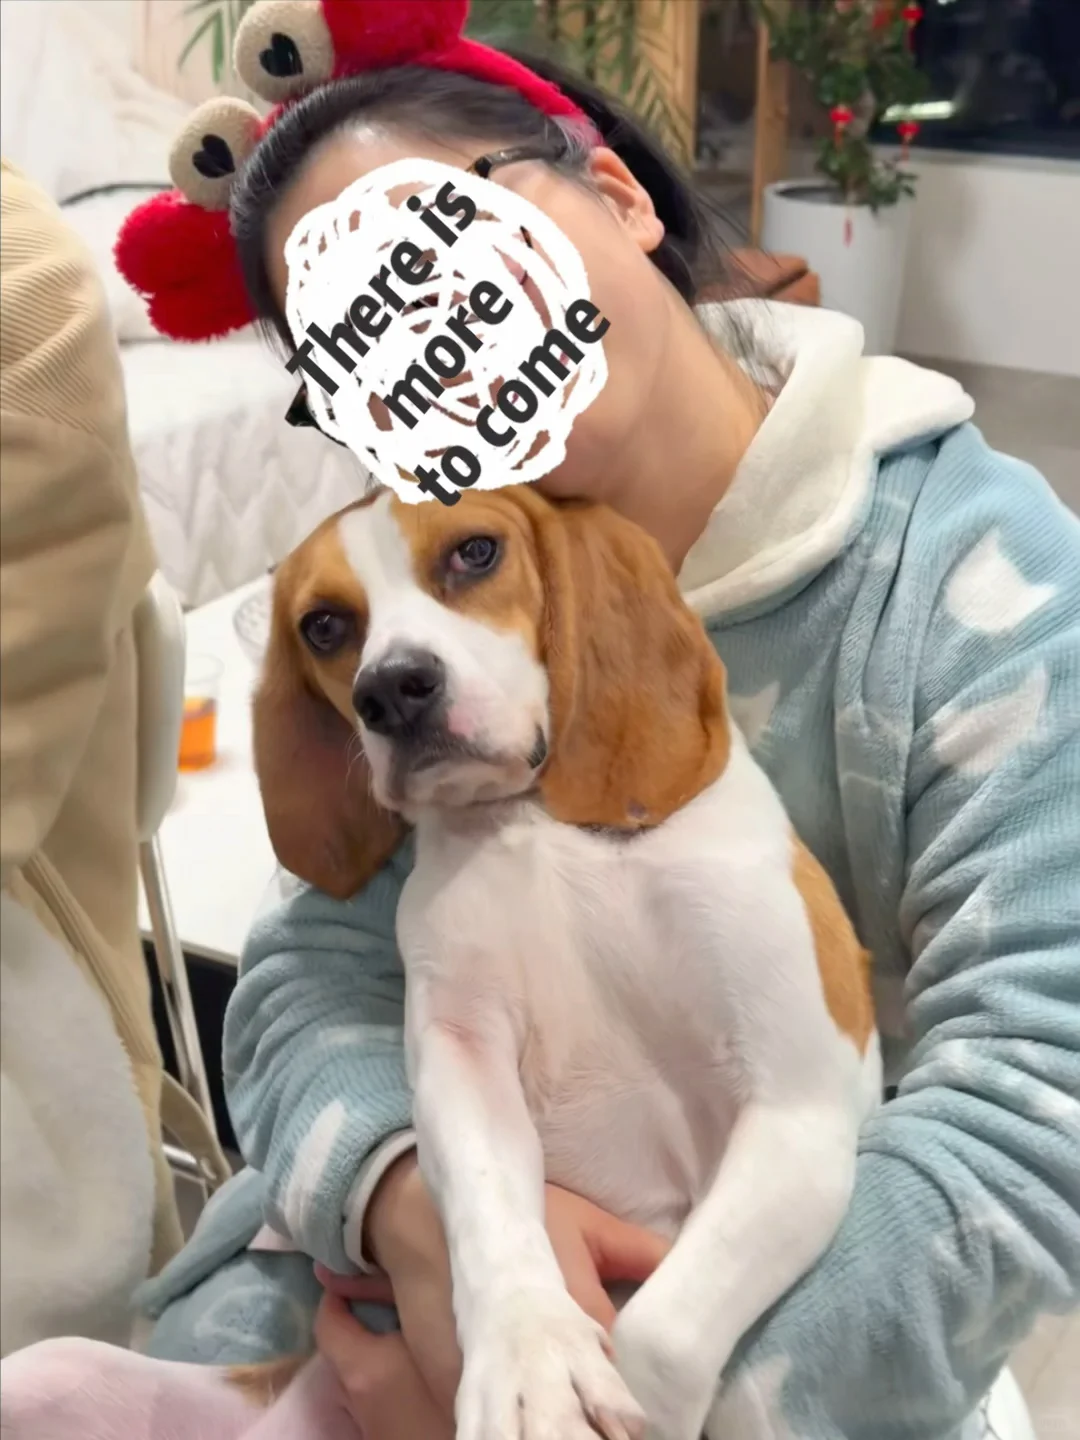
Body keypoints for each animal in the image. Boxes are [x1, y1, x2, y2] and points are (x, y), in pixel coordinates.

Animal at [248, 483, 881, 1440]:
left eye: (476, 551)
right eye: (323, 625)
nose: (390, 690)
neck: (533, 822)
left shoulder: (798, 1109)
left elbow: (658, 1329)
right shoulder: (462, 1055)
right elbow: (491, 1220)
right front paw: (529, 1359)